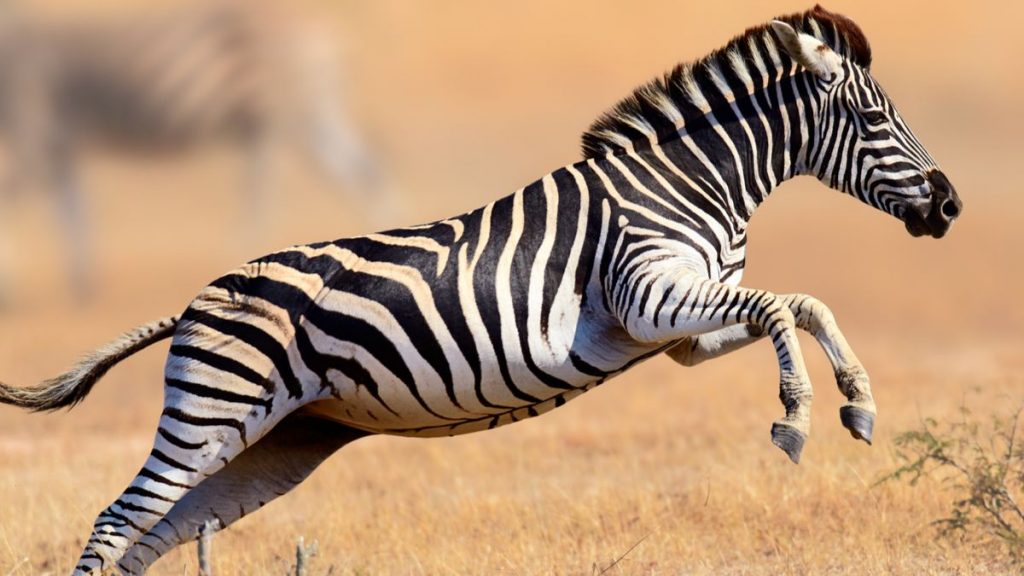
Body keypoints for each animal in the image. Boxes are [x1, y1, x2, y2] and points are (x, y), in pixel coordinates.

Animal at [0, 1, 390, 299]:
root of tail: (325, 35)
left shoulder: (33, 131)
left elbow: (18, 200)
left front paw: (12, 289)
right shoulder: (58, 145)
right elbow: (73, 212)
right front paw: (84, 285)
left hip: (291, 116)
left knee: (277, 194)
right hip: (301, 117)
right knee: (365, 171)